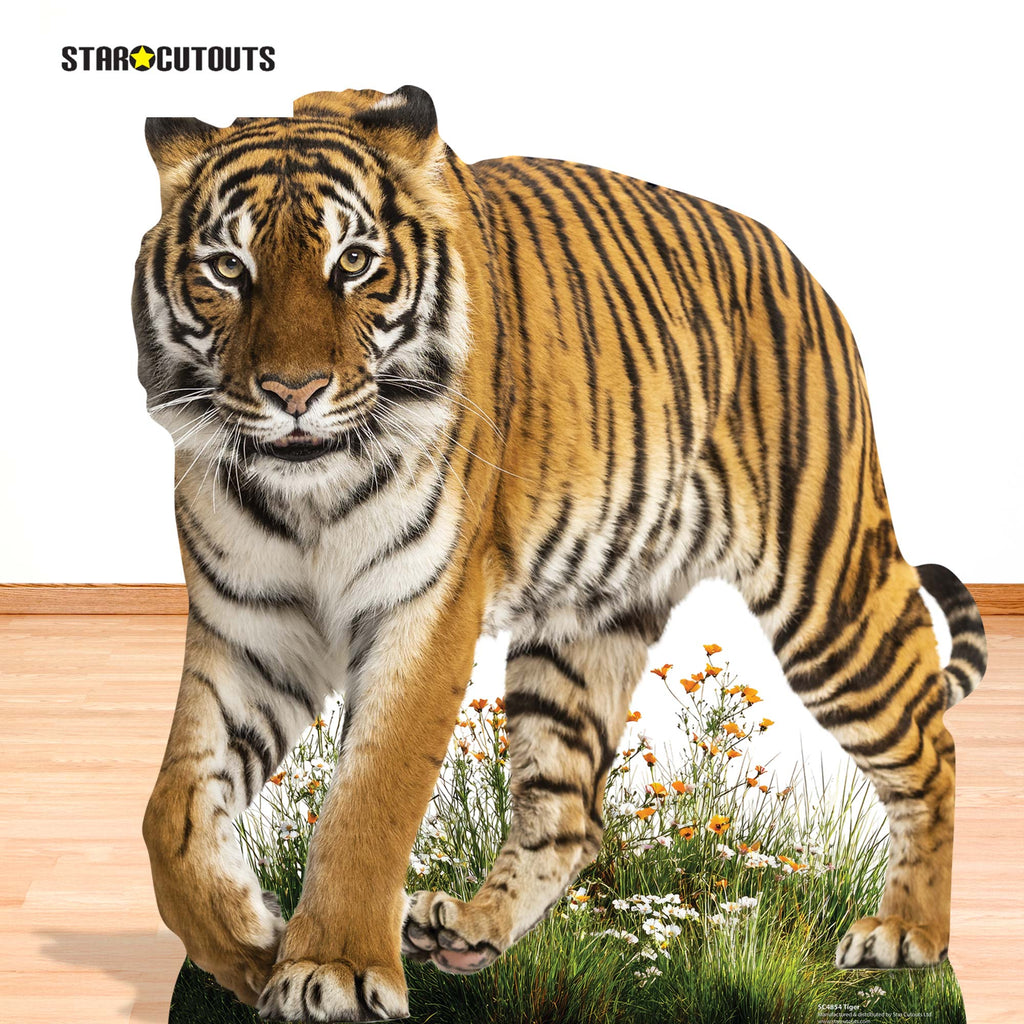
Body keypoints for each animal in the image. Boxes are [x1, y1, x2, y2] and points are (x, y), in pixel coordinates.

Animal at [133, 85, 988, 1022]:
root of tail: (802, 268)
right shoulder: (252, 626)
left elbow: (368, 799)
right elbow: (171, 811)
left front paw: (333, 969)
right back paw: (466, 932)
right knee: (570, 816)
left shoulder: (424, 610)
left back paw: (908, 935)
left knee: (931, 746)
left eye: (353, 262)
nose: (294, 392)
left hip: (827, 588)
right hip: (585, 626)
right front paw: (252, 946)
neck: (306, 496)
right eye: (227, 269)